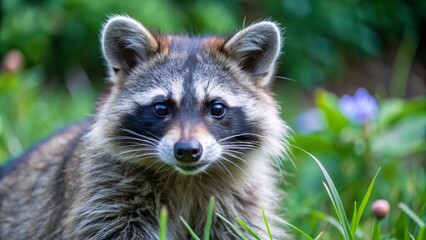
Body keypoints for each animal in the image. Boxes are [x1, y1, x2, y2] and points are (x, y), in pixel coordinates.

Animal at [0, 15, 290, 239]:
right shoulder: (104, 194)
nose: (187, 151)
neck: (185, 178)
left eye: (216, 108)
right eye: (161, 108)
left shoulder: (242, 204)